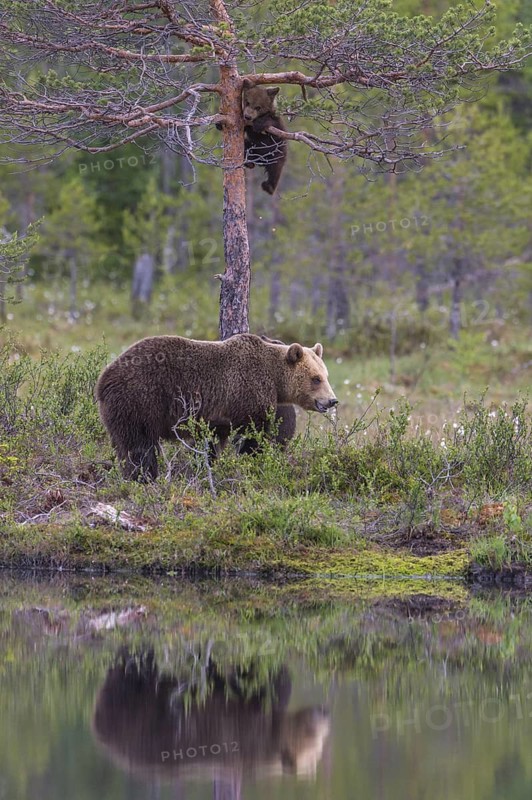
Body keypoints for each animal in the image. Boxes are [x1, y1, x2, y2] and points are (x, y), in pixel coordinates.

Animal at [95, 333, 337, 481]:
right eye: (316, 379)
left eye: (325, 375)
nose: (332, 400)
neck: (275, 380)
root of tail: (103, 379)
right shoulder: (246, 393)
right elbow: (253, 435)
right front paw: (252, 461)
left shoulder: (215, 416)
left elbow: (210, 442)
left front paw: (206, 465)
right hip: (141, 400)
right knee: (140, 445)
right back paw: (144, 476)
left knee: (124, 444)